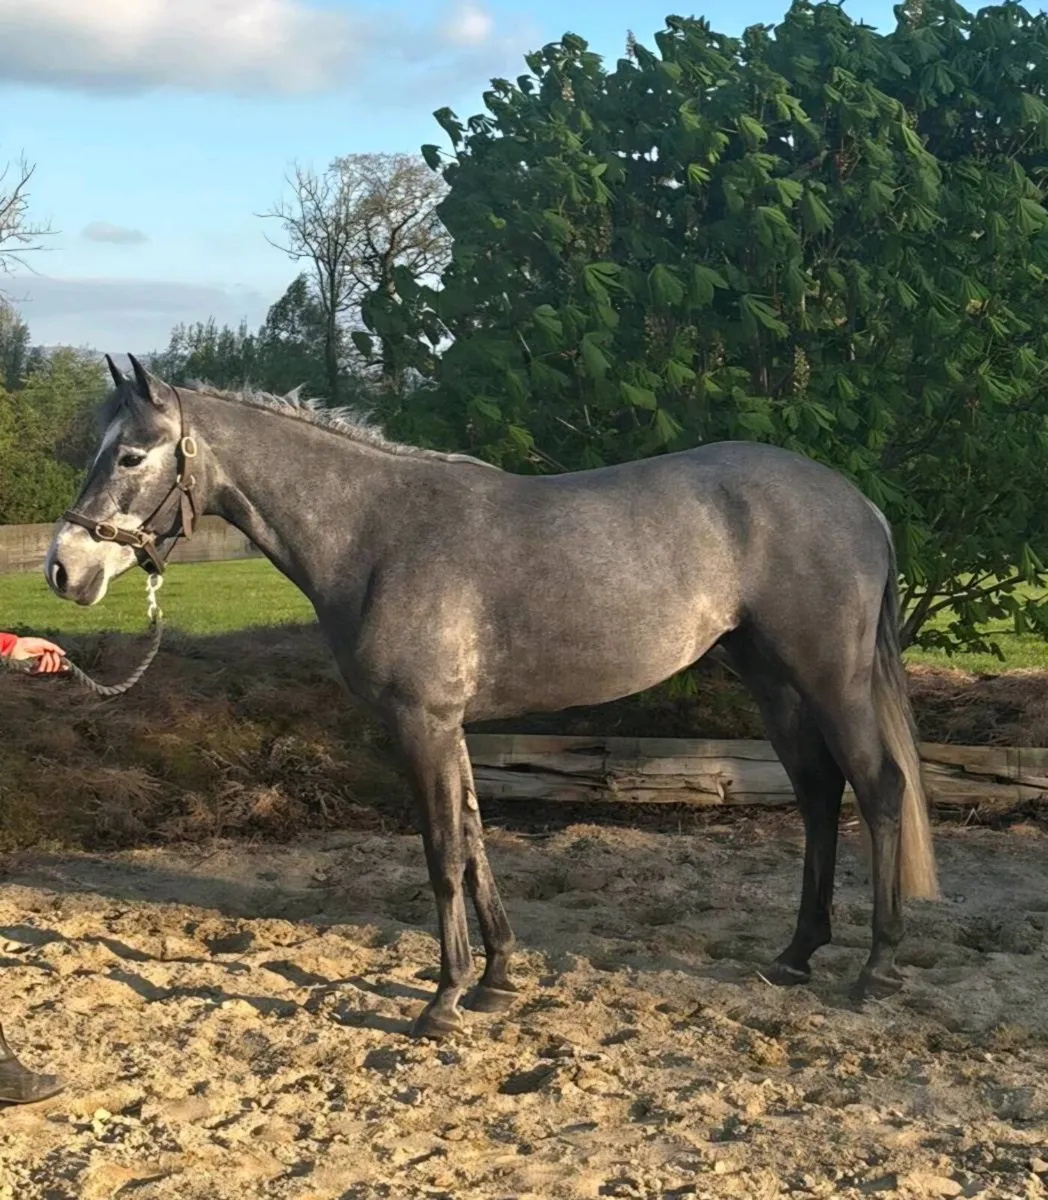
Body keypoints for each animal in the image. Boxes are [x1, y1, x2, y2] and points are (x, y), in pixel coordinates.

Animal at [45, 354, 939, 1040]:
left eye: (132, 457)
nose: (64, 568)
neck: (375, 533)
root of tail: (858, 503)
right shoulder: (451, 727)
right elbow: (475, 841)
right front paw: (497, 978)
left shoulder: (420, 723)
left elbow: (444, 855)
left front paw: (442, 1000)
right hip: (771, 680)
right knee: (819, 795)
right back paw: (796, 955)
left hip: (831, 679)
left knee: (878, 789)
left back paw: (878, 965)